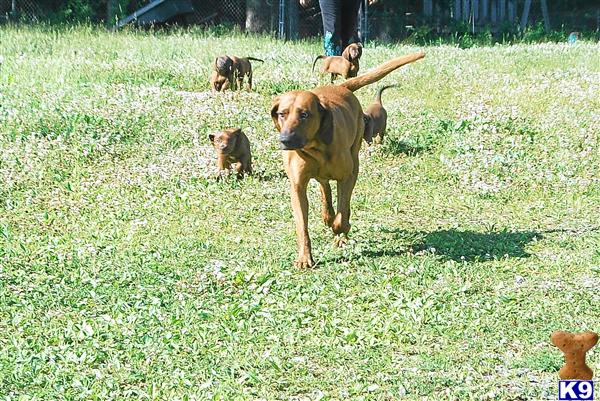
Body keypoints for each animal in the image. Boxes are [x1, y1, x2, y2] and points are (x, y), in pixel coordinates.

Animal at [270, 51, 424, 268]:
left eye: (305, 114)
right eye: (282, 114)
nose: (285, 140)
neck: (315, 147)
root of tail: (342, 87)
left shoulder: (347, 176)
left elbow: (342, 214)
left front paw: (341, 229)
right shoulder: (297, 186)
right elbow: (302, 225)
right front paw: (304, 257)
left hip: (355, 156)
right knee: (324, 186)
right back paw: (327, 214)